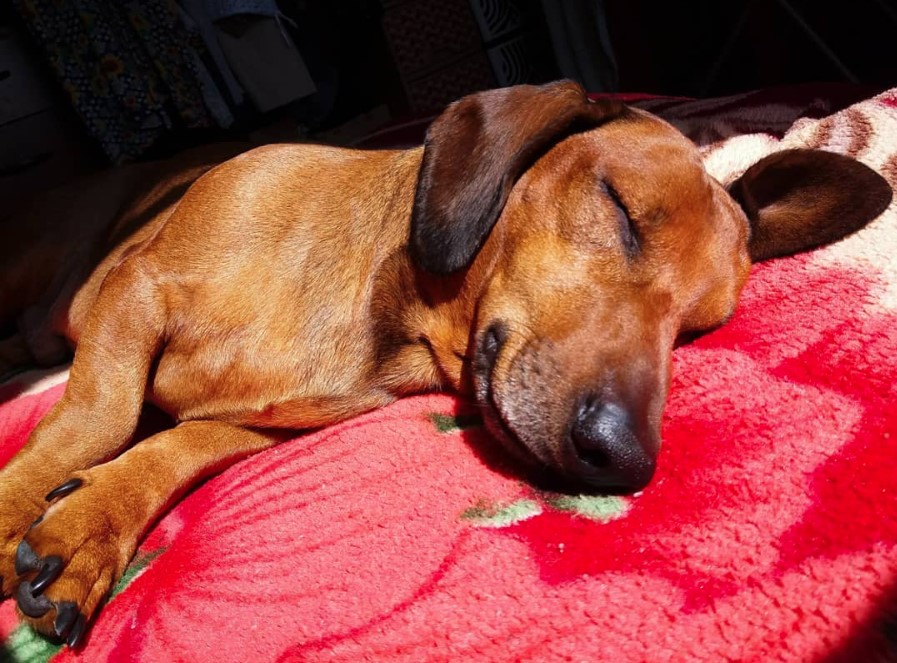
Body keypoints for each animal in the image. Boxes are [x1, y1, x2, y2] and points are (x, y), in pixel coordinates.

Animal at [0, 80, 888, 644]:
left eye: (697, 328)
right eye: (620, 209)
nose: (624, 458)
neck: (375, 311)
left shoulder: (265, 426)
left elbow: (173, 448)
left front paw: (89, 522)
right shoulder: (136, 290)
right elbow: (99, 414)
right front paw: (20, 501)